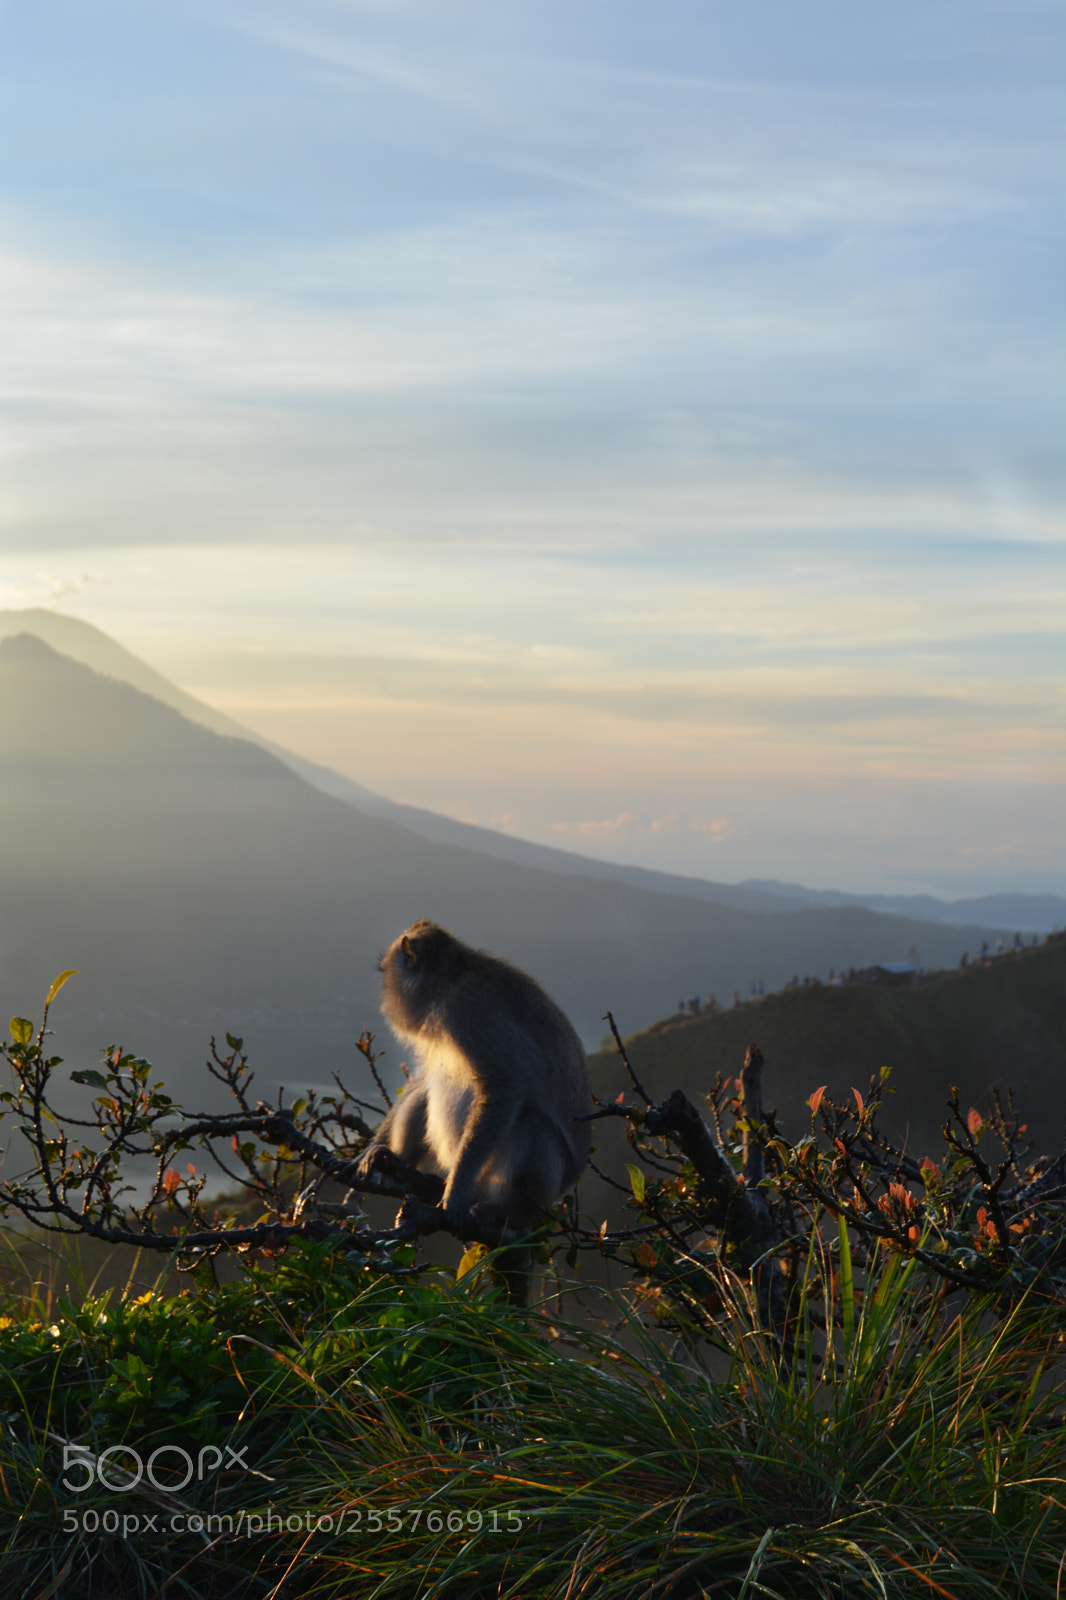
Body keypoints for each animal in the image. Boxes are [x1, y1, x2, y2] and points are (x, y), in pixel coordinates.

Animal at [356, 920, 591, 1267]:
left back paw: (497, 1210)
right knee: (427, 1091)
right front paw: (373, 1148)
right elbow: (422, 1079)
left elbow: (504, 1085)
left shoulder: (468, 1010)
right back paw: (397, 1159)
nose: (385, 1000)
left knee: (532, 1125)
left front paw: (455, 1196)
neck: (450, 980)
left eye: (387, 973)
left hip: (532, 1191)